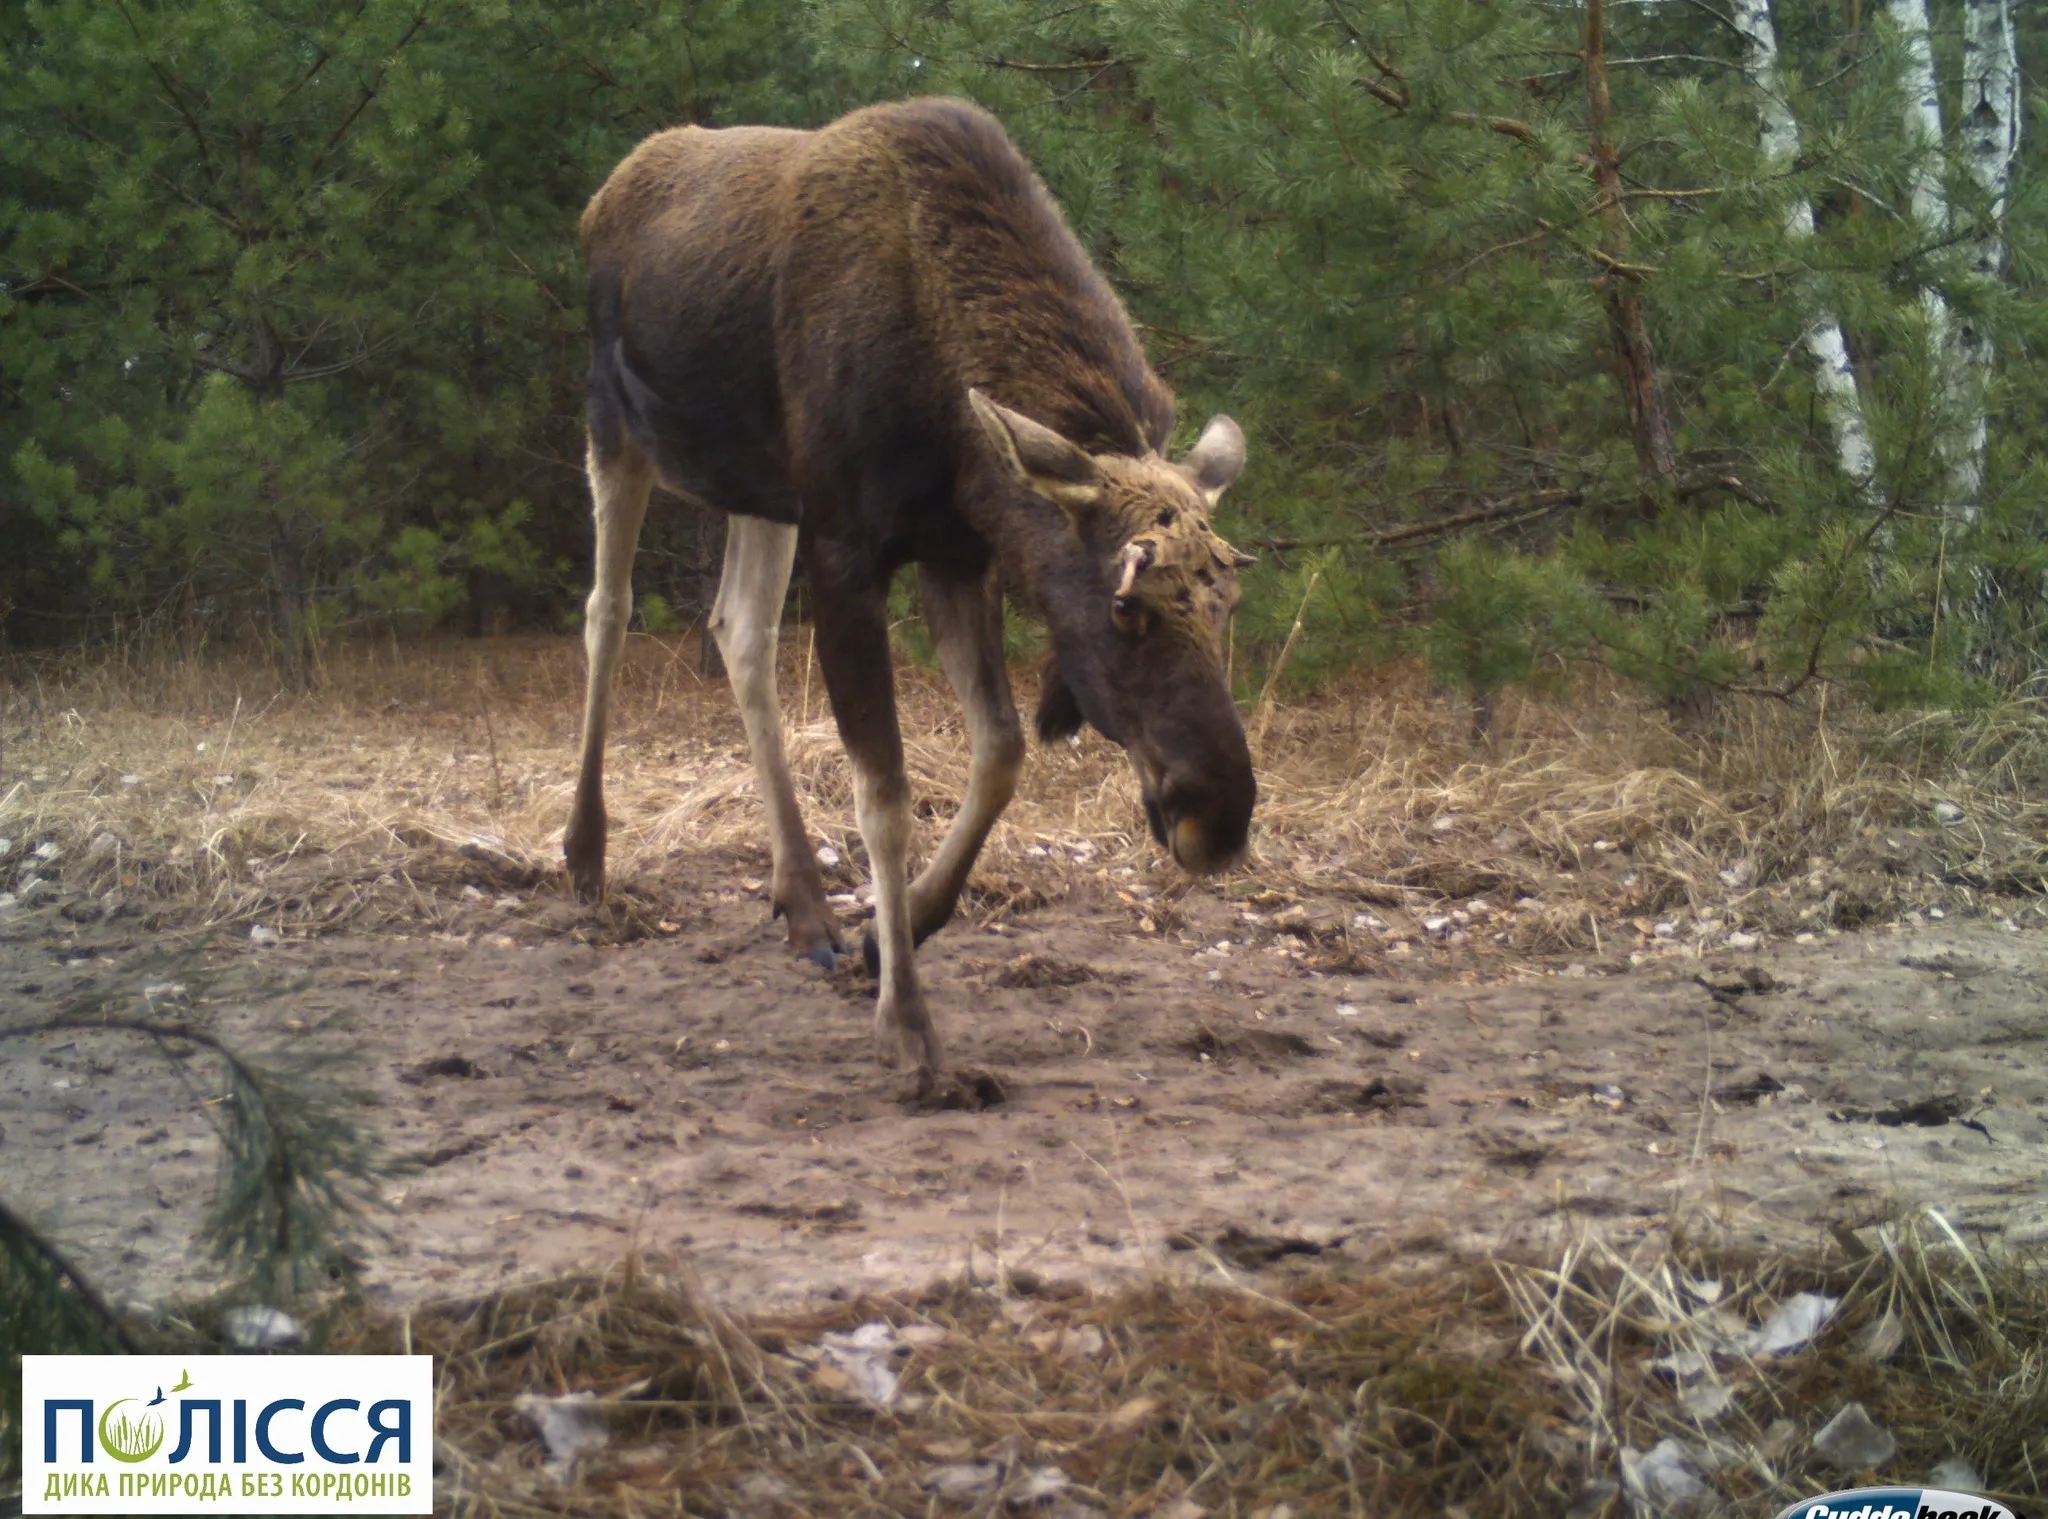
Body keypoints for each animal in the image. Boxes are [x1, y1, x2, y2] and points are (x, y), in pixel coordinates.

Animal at [569, 101, 1253, 1080]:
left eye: (1226, 600)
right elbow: (885, 790)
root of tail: (607, 191)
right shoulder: (848, 548)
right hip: (615, 425)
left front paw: (892, 931)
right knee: (608, 611)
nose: (1222, 816)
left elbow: (1001, 750)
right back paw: (586, 852)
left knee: (739, 629)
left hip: (762, 488)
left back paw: (804, 903)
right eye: (1127, 603)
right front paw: (905, 1017)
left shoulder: (954, 551)